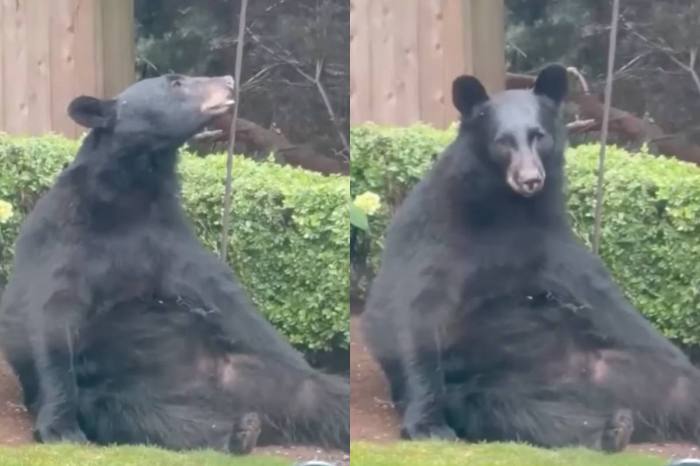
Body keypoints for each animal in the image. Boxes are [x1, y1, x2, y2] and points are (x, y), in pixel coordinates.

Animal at [0, 74, 349, 453]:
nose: (228, 80)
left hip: (267, 376)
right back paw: (239, 433)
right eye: (176, 83)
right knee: (151, 418)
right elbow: (54, 316)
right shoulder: (65, 239)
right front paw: (60, 428)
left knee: (319, 394)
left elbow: (225, 295)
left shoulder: (168, 236)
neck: (130, 191)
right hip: (120, 395)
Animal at [362, 64, 700, 451]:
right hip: (487, 389)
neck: (506, 209)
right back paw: (611, 429)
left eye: (539, 136)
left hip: (631, 365)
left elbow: (601, 293)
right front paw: (427, 426)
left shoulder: (550, 238)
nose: (530, 179)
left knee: (679, 386)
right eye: (503, 141)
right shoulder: (437, 237)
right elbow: (418, 312)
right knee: (517, 412)